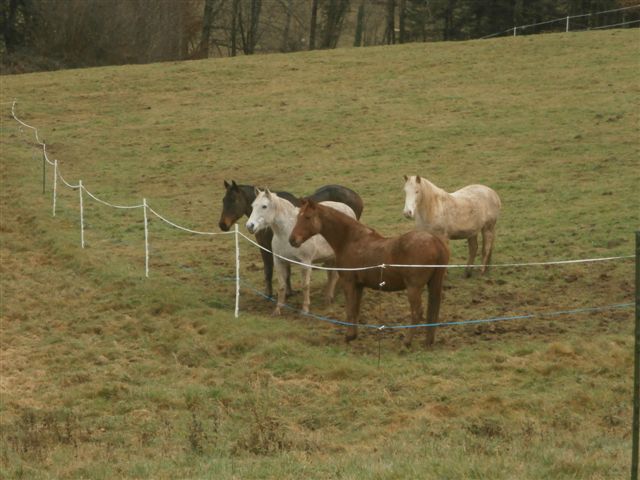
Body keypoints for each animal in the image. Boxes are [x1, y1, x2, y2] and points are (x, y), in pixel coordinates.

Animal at [218, 182, 362, 298]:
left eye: (234, 200)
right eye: (224, 200)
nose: (222, 224)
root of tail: (356, 196)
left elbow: (285, 272)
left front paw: (287, 293)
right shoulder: (265, 247)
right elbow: (268, 271)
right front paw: (270, 294)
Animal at [290, 200, 450, 348]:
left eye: (308, 217)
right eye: (298, 216)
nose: (292, 240)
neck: (350, 240)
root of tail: (435, 241)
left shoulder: (349, 283)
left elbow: (350, 309)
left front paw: (349, 336)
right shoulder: (359, 285)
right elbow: (356, 309)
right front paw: (353, 335)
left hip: (413, 288)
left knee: (417, 312)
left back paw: (407, 342)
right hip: (434, 284)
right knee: (433, 312)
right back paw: (428, 342)